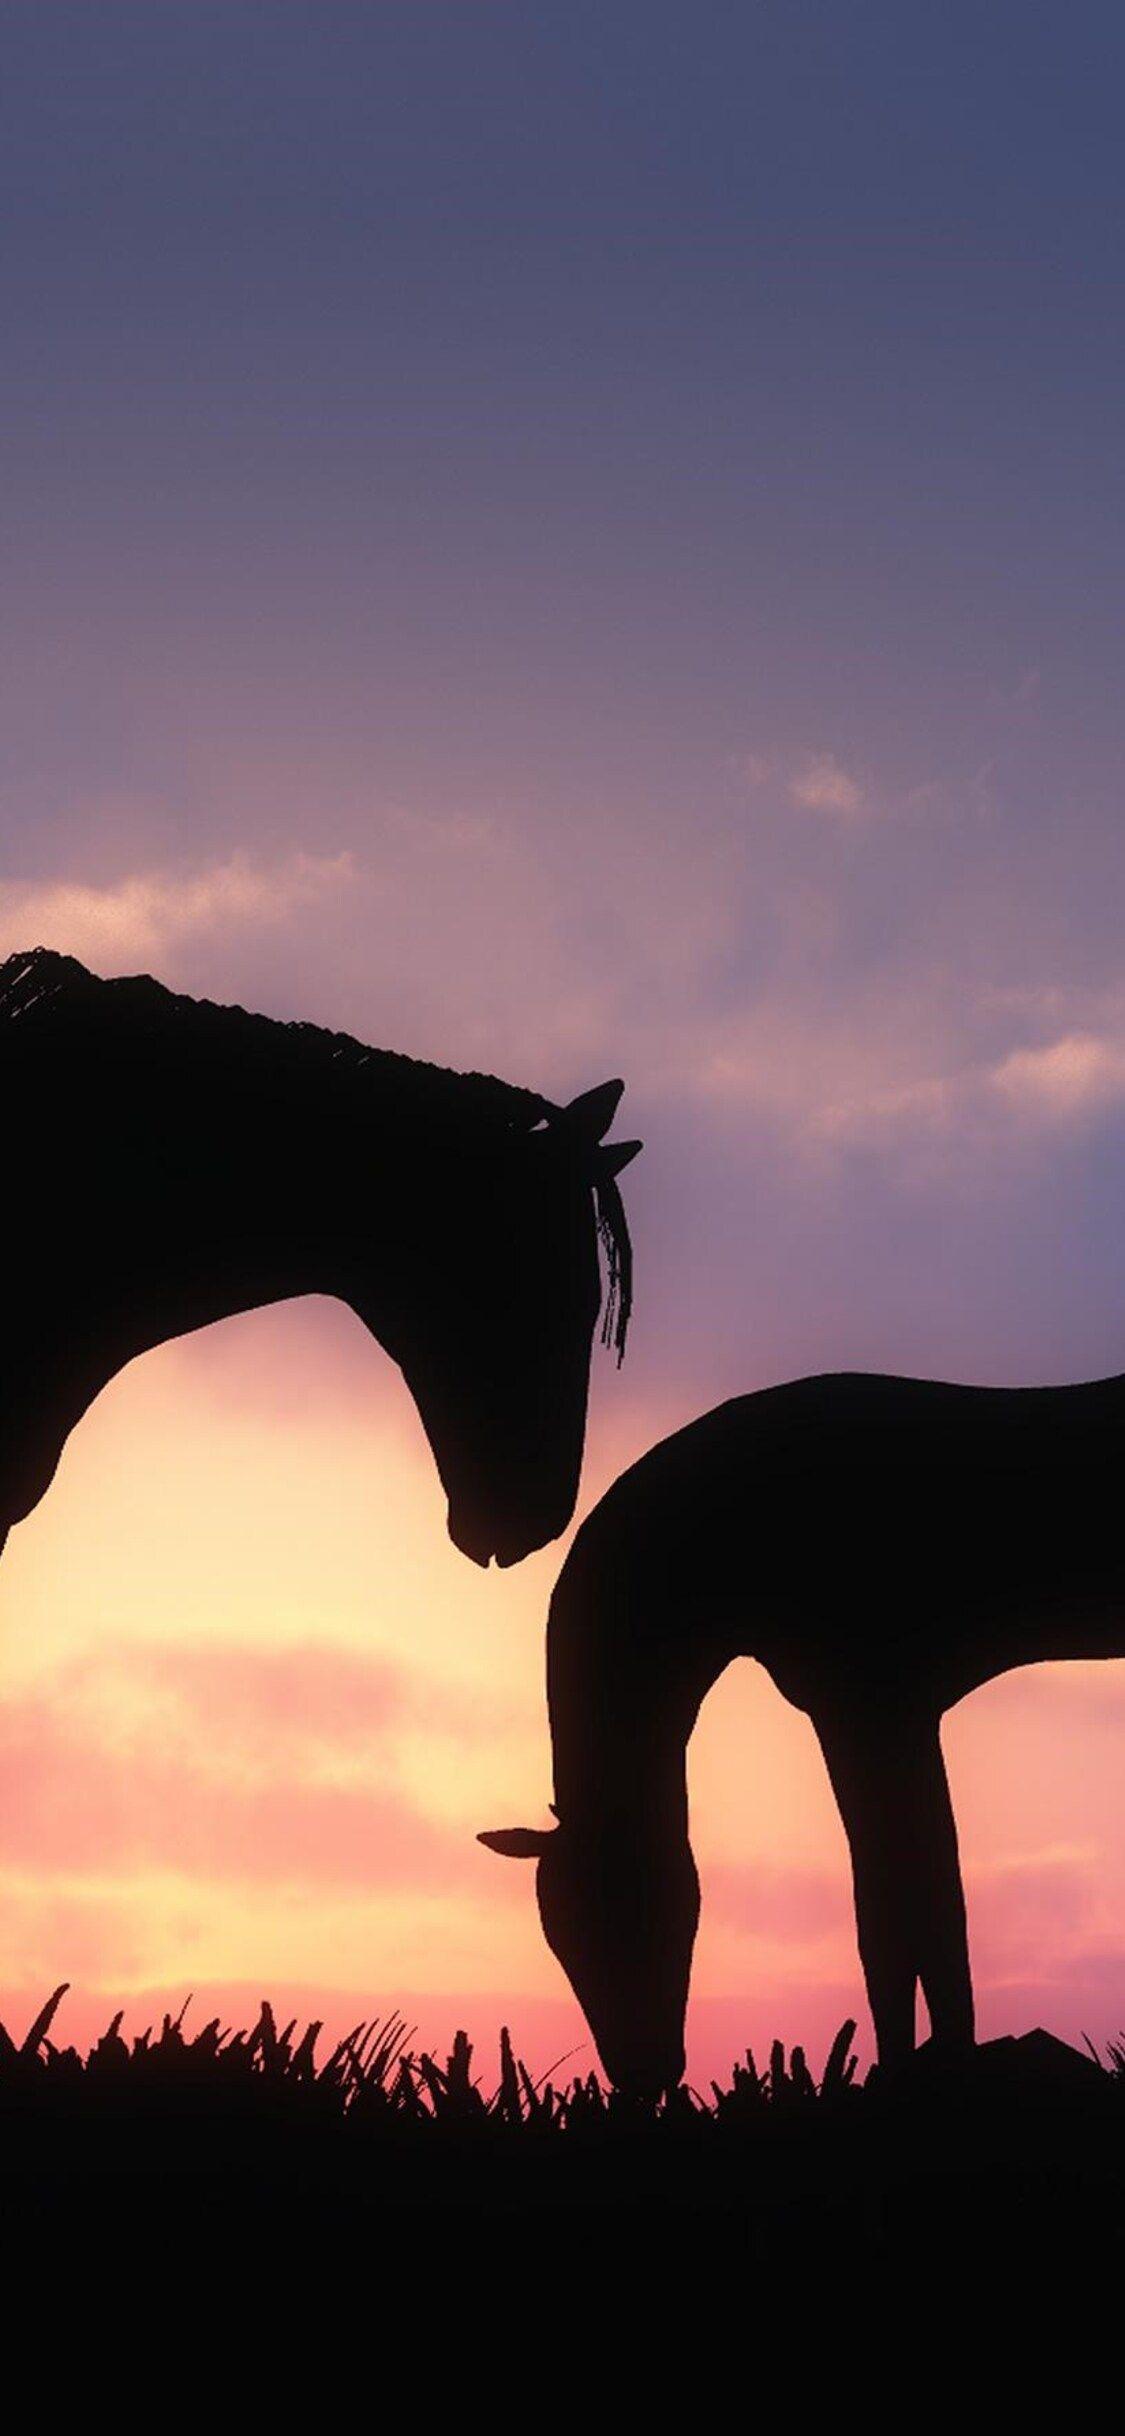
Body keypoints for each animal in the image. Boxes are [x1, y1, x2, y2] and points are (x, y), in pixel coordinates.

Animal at [480, 1367, 1125, 2092]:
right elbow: (907, 1895)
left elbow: (906, 1902)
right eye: (558, 1936)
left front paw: (929, 2064)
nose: (643, 2075)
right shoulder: (878, 1711)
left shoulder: (876, 1705)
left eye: (634, 1913)